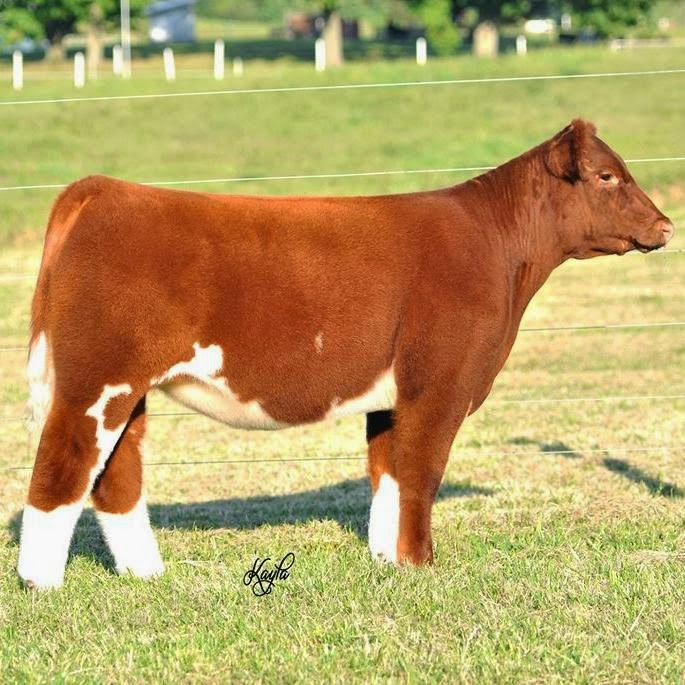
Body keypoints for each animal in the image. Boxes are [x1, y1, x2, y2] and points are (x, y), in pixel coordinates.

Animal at [17, 119, 674, 589]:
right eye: (607, 177)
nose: (667, 226)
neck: (499, 250)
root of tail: (104, 189)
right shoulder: (440, 385)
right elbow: (421, 473)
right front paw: (421, 565)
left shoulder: (391, 396)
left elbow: (388, 476)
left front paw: (387, 561)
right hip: (96, 380)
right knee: (61, 469)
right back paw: (42, 584)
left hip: (128, 388)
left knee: (115, 475)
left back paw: (146, 574)